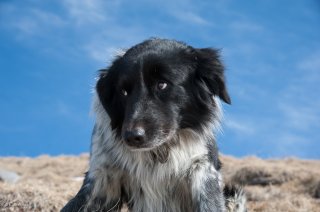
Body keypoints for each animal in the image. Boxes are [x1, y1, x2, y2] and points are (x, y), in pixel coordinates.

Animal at [61, 38, 246, 212]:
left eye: (162, 84)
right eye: (124, 91)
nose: (132, 137)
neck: (158, 153)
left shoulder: (202, 172)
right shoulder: (101, 177)